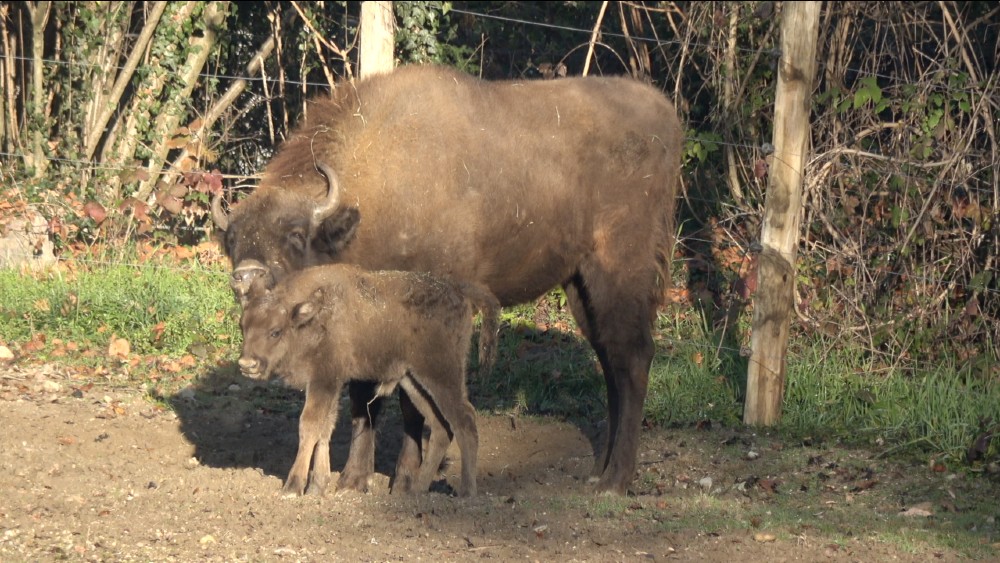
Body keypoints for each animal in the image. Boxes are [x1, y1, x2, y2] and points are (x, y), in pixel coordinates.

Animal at [239, 264, 496, 498]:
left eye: (275, 331)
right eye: (243, 327)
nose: (246, 364)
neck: (312, 317)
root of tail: (458, 291)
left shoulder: (324, 380)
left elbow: (310, 425)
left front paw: (293, 487)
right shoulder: (330, 385)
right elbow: (324, 429)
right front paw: (317, 487)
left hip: (442, 375)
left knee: (465, 419)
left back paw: (467, 492)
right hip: (413, 381)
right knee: (441, 427)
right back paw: (416, 491)